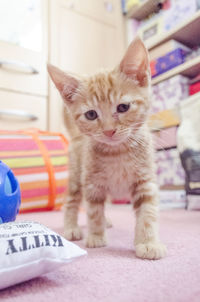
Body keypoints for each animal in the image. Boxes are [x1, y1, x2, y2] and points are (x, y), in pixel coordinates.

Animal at [47, 37, 166, 260]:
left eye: (123, 107)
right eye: (91, 115)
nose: (109, 131)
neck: (118, 152)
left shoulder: (145, 181)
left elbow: (147, 213)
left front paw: (148, 242)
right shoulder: (92, 184)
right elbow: (93, 211)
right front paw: (95, 236)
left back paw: (107, 220)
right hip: (77, 177)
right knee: (71, 202)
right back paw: (71, 227)